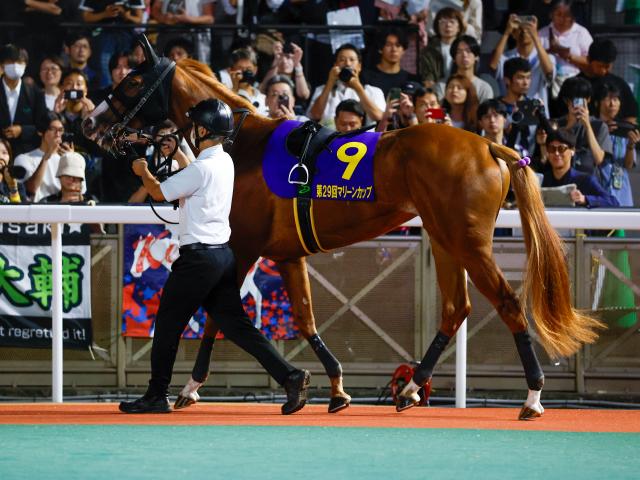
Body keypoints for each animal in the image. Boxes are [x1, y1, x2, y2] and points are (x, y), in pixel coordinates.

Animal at [83, 36, 603, 419]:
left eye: (131, 81)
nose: (87, 123)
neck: (241, 145)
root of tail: (490, 146)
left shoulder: (245, 246)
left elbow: (217, 317)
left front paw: (190, 387)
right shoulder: (287, 254)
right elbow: (303, 318)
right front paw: (332, 388)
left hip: (469, 243)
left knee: (508, 304)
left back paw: (532, 398)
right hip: (443, 238)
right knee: (456, 308)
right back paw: (410, 389)